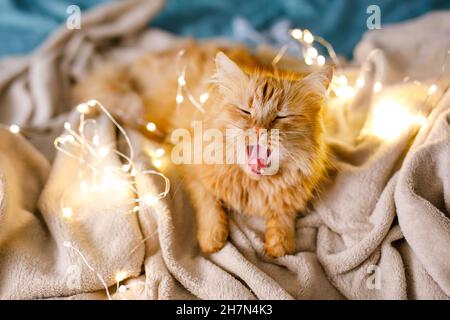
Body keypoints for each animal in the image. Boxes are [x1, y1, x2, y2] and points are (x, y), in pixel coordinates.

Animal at [74, 42, 334, 258]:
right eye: (245, 111)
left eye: (282, 116)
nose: (260, 129)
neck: (253, 187)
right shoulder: (192, 168)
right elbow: (209, 206)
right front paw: (213, 238)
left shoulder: (294, 192)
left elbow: (283, 213)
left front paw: (280, 242)